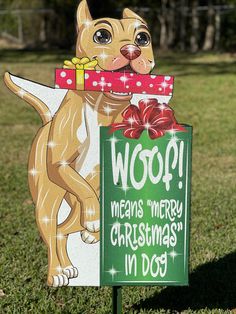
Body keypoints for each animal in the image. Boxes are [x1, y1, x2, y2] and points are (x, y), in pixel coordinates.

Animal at [4, 0, 155, 288]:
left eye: (143, 38)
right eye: (101, 35)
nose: (131, 50)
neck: (103, 108)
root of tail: (46, 123)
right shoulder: (61, 166)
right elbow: (84, 189)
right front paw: (95, 219)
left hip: (73, 209)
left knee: (63, 230)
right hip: (47, 200)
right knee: (52, 229)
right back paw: (57, 271)